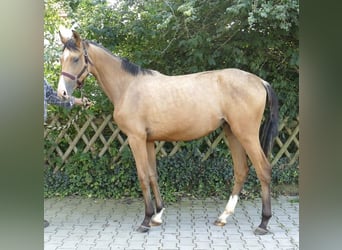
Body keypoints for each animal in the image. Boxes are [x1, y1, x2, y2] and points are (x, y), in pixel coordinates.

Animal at [57, 27, 280, 234]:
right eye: (61, 59)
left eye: (76, 59)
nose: (62, 94)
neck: (128, 87)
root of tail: (260, 81)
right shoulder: (148, 140)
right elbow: (152, 175)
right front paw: (157, 215)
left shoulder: (136, 139)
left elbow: (142, 177)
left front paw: (146, 220)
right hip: (232, 132)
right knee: (241, 170)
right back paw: (224, 216)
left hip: (246, 135)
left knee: (263, 169)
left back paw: (263, 223)